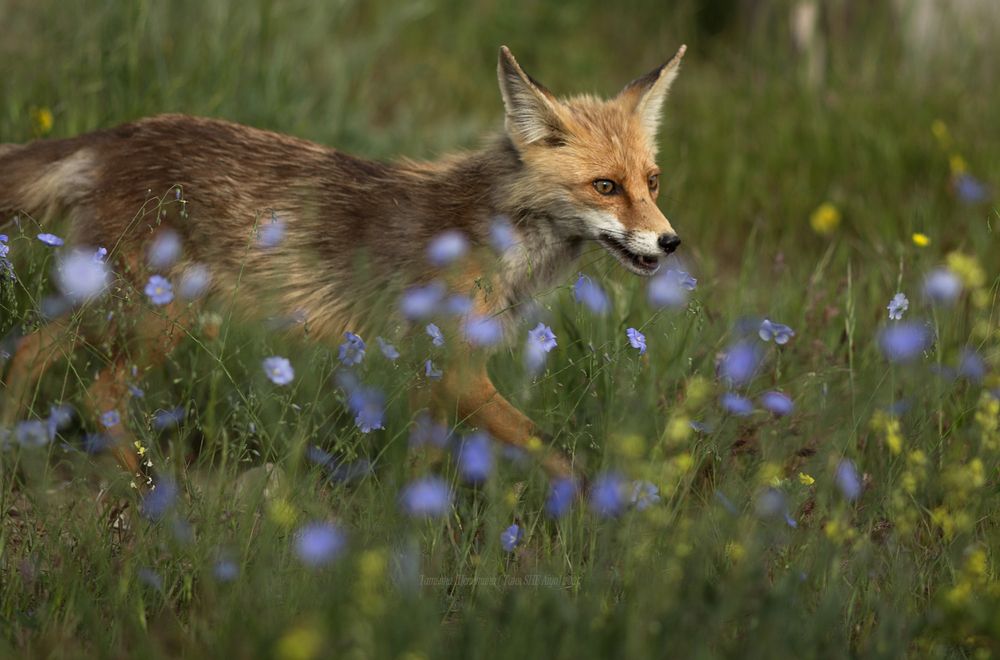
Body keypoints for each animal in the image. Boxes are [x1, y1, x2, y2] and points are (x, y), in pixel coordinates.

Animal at [0, 45, 686, 480]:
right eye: (605, 187)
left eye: (652, 182)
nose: (670, 242)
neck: (500, 242)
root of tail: (117, 134)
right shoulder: (456, 369)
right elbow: (554, 452)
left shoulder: (433, 373)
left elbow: (425, 464)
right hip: (157, 314)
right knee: (98, 394)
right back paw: (150, 494)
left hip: (116, 306)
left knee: (30, 350)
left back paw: (16, 449)